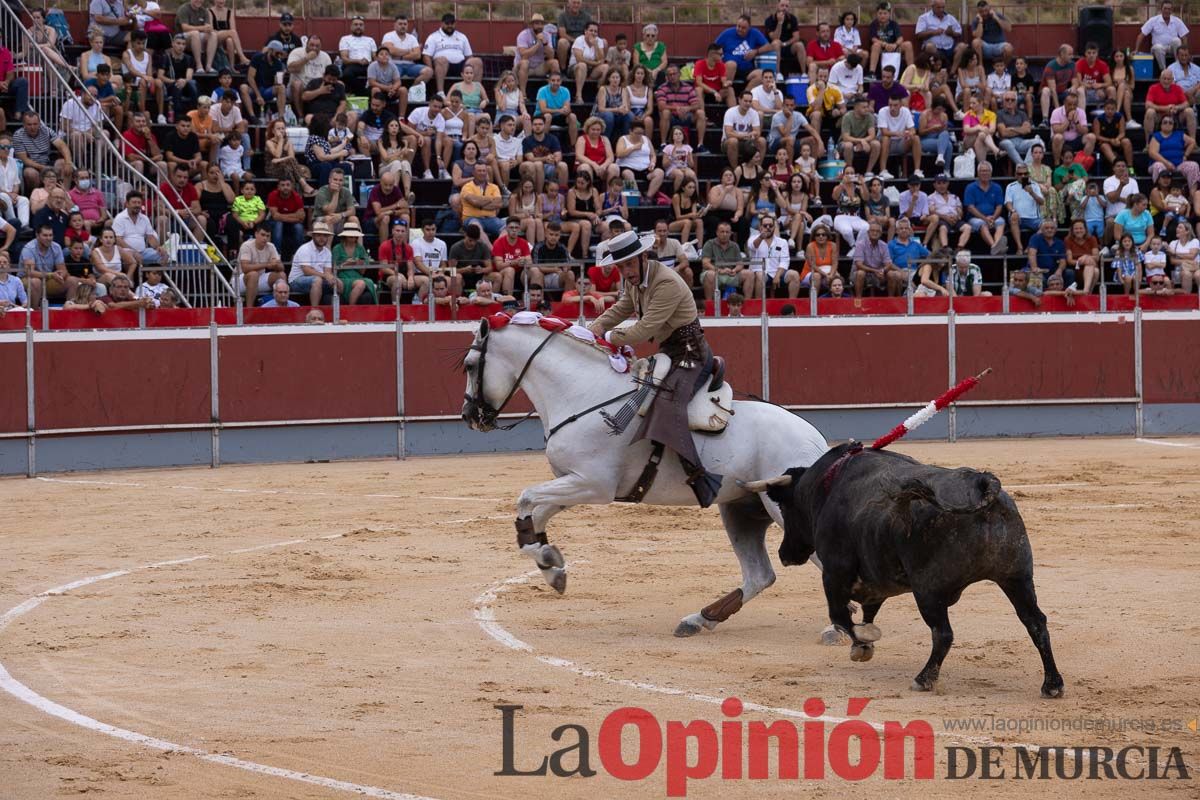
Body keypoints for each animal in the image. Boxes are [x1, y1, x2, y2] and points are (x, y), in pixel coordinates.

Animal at [460, 316, 835, 633]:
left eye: (469, 365)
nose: (469, 416)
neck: (584, 395)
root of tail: (814, 439)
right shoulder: (573, 482)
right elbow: (535, 513)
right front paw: (550, 565)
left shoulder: (594, 485)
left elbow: (526, 498)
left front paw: (548, 561)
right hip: (742, 508)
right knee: (760, 574)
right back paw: (699, 619)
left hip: (781, 509)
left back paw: (835, 629)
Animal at [748, 443, 1070, 700]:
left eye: (785, 507)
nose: (784, 554)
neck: (825, 486)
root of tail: (981, 484)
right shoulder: (875, 579)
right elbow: (868, 610)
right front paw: (866, 636)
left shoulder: (834, 573)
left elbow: (840, 615)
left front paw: (862, 646)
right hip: (1017, 578)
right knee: (1035, 623)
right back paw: (1052, 684)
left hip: (928, 590)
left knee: (943, 634)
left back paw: (923, 679)